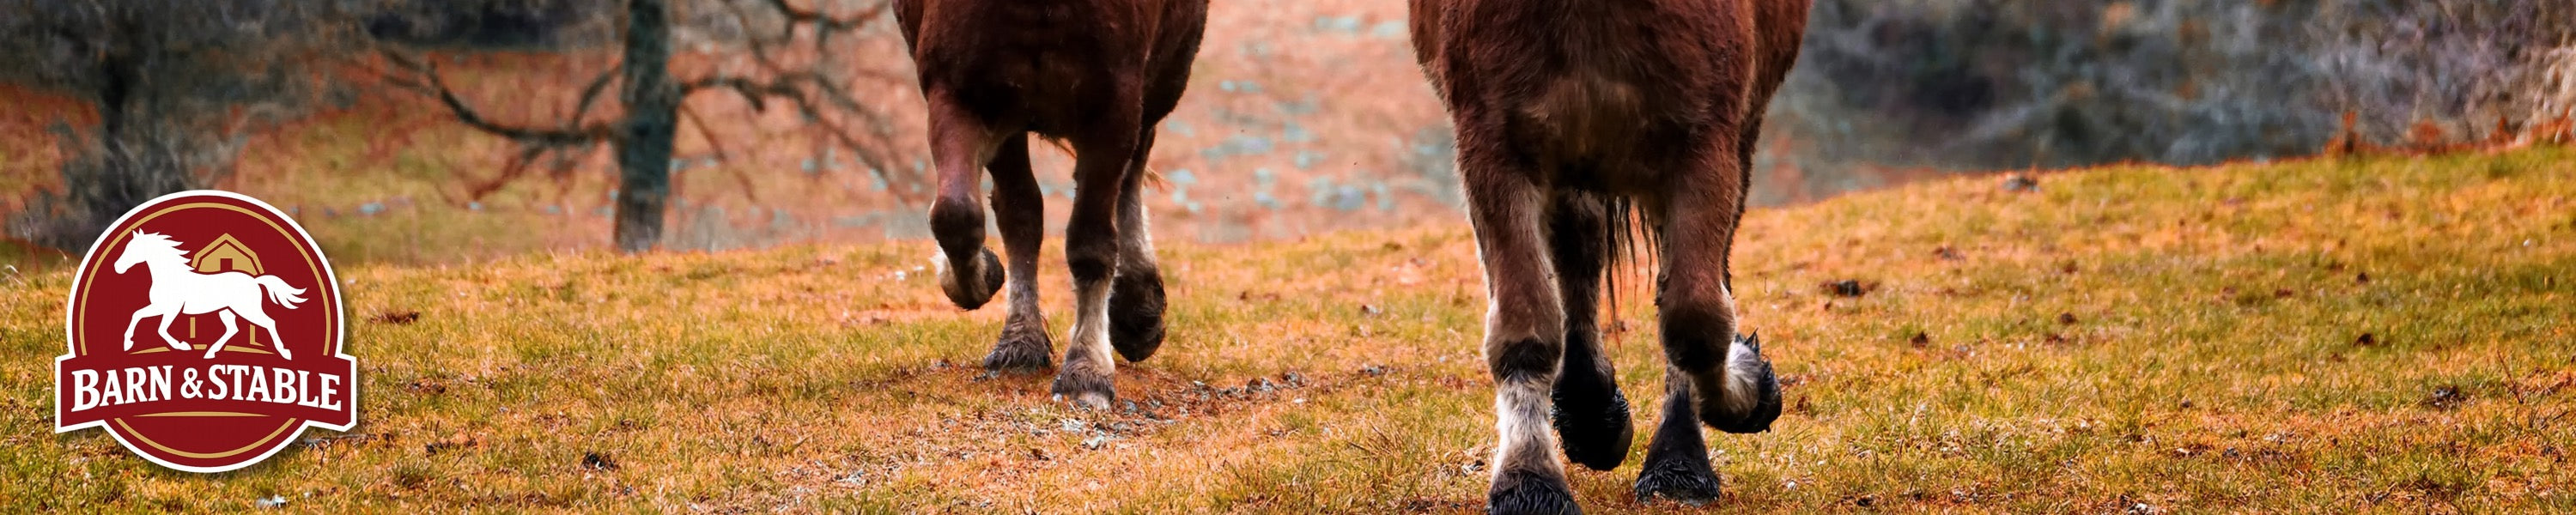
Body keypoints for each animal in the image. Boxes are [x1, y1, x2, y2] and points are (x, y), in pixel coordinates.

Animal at [112, 232, 309, 360]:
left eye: (132, 249)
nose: (117, 267)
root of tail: (254, 280)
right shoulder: (160, 307)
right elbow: (137, 315)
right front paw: (128, 343)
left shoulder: (172, 309)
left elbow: (161, 329)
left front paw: (182, 346)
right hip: (226, 311)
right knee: (233, 329)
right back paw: (210, 352)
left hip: (247, 310)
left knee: (269, 322)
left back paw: (285, 353)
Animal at [892, 0, 1208, 408]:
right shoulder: (960, 94)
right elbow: (957, 215)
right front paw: (983, 279)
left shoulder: (1114, 108)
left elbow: (1091, 244)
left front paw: (1087, 369)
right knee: (1019, 211)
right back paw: (1020, 340)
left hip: (1162, 82)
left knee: (1132, 174)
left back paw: (1139, 310)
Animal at [1408, 0, 1808, 511]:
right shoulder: (1495, 146)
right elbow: (1524, 326)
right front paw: (1528, 480)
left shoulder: (1705, 143)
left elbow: (1695, 319)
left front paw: (1745, 395)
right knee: (1579, 254)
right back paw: (1591, 416)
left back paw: (1675, 460)